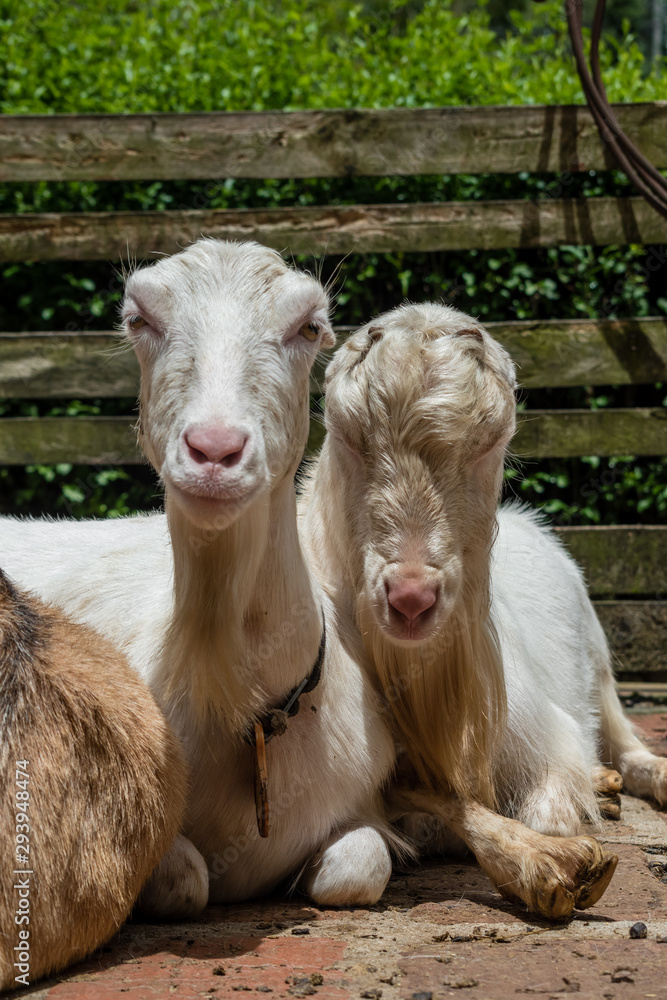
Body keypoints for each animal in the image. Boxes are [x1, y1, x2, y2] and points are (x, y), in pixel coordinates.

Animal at [300, 302, 666, 919]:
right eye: (348, 436)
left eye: (490, 442)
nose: (411, 596)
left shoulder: (547, 735)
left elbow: (549, 813)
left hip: (598, 663)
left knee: (628, 740)